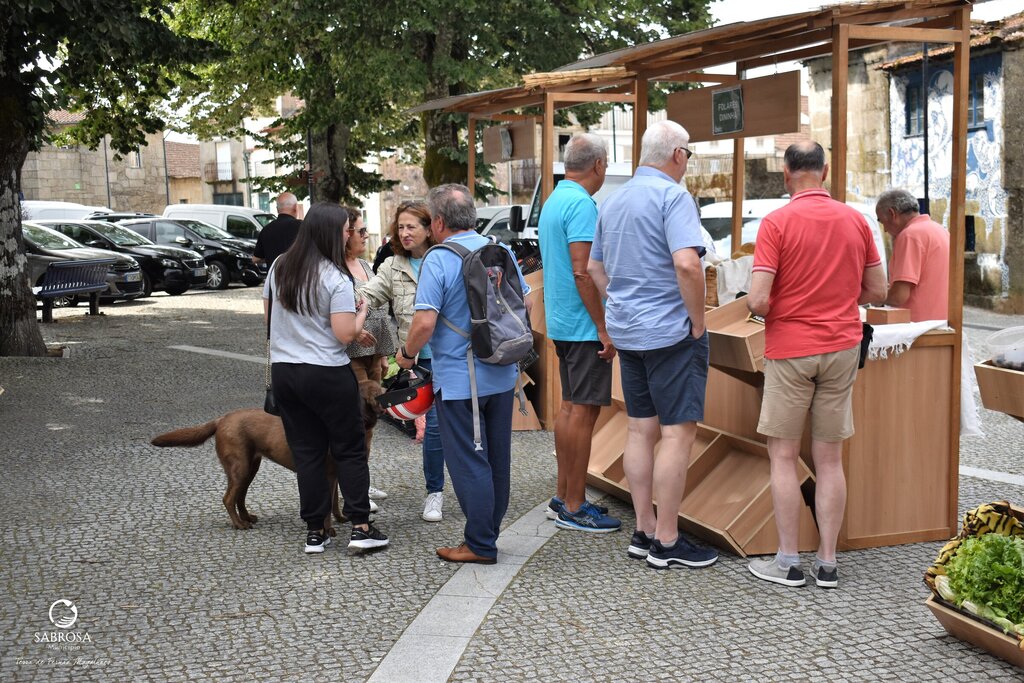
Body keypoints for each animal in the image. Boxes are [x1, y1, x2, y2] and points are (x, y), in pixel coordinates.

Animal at [151, 380, 383, 534]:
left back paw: (247, 517)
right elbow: (326, 505)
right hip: (239, 466)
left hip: (250, 466)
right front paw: (328, 531)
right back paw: (240, 524)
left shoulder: (335, 473)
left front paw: (341, 519)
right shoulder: (327, 474)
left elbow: (334, 501)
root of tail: (221, 419)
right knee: (228, 498)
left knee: (240, 496)